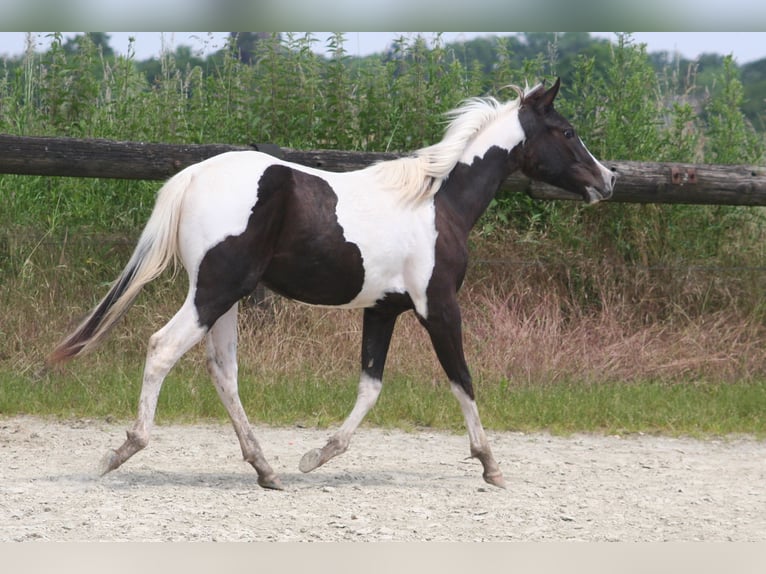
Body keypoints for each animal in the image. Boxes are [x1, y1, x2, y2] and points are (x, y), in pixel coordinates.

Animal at [49, 78, 615, 490]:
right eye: (566, 131)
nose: (607, 180)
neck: (438, 205)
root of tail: (193, 176)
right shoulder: (438, 307)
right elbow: (462, 379)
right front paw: (490, 465)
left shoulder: (382, 310)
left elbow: (370, 386)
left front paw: (316, 456)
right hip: (214, 291)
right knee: (163, 348)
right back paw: (122, 451)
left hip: (226, 296)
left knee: (223, 371)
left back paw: (267, 470)